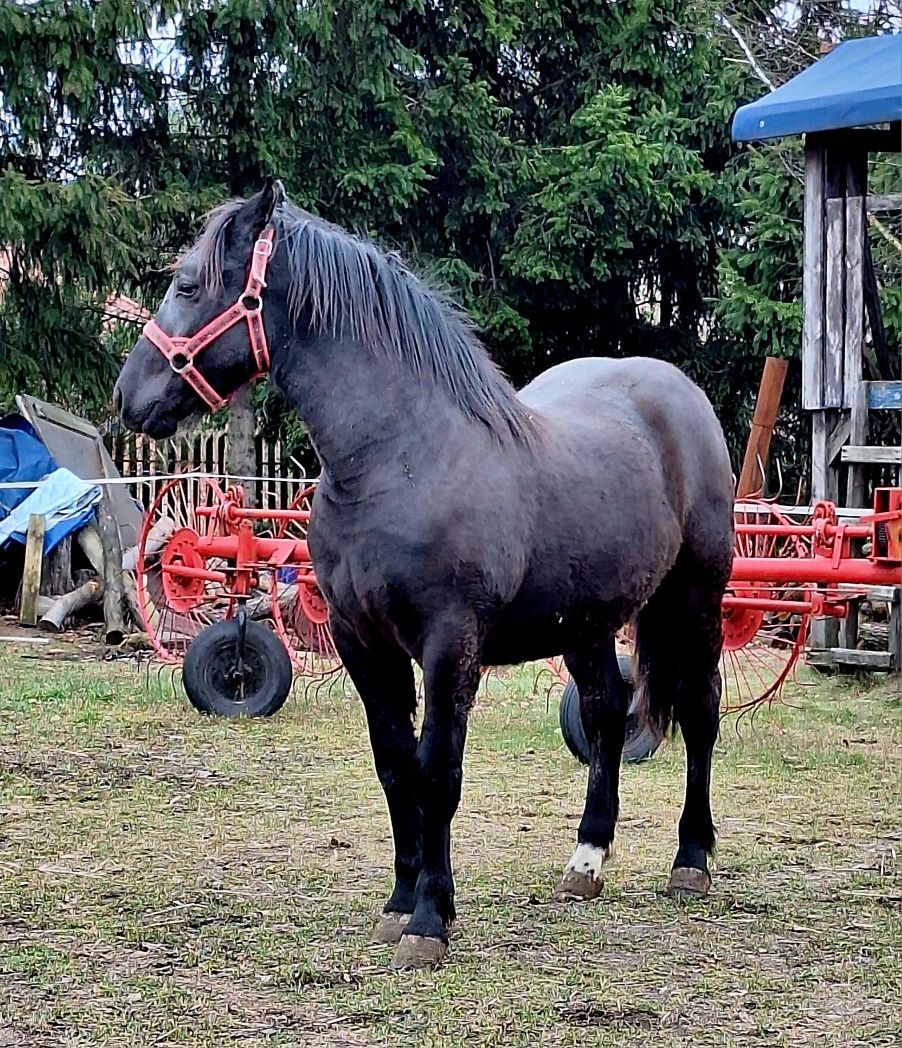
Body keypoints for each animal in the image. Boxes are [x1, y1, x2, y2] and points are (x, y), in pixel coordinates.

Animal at [112, 178, 737, 964]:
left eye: (189, 284)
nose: (128, 397)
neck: (401, 457)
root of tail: (675, 393)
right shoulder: (360, 642)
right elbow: (394, 767)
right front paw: (398, 901)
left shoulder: (448, 645)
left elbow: (437, 773)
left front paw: (430, 920)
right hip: (587, 623)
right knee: (604, 715)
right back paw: (586, 861)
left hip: (697, 597)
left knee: (702, 713)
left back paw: (692, 861)